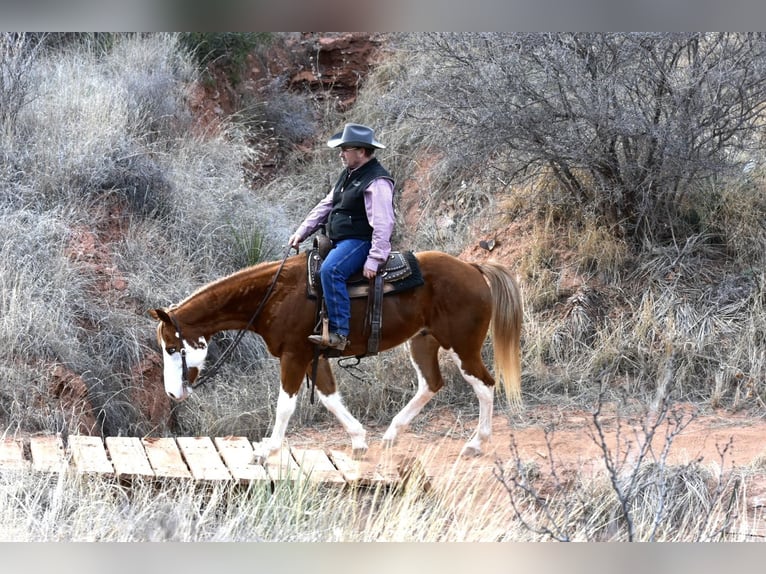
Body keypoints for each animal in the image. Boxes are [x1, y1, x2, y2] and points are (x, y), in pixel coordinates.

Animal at [149, 250, 520, 462]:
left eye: (172, 348)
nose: (171, 393)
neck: (275, 295)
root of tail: (473, 268)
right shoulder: (316, 356)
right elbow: (329, 397)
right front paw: (358, 441)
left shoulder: (294, 356)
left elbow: (285, 406)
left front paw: (267, 451)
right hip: (422, 342)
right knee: (431, 383)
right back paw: (391, 434)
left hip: (463, 346)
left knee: (485, 385)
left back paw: (475, 443)